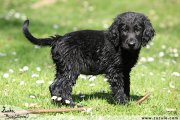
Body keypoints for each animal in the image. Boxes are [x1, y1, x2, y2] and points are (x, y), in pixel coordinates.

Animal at [22, 11, 155, 106]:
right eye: (123, 30)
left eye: (138, 29)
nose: (131, 44)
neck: (122, 48)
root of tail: (58, 38)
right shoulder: (114, 71)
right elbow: (118, 87)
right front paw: (122, 102)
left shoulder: (125, 70)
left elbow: (126, 85)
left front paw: (127, 99)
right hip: (71, 68)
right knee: (60, 86)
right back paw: (71, 104)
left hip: (62, 68)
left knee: (53, 86)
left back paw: (58, 103)